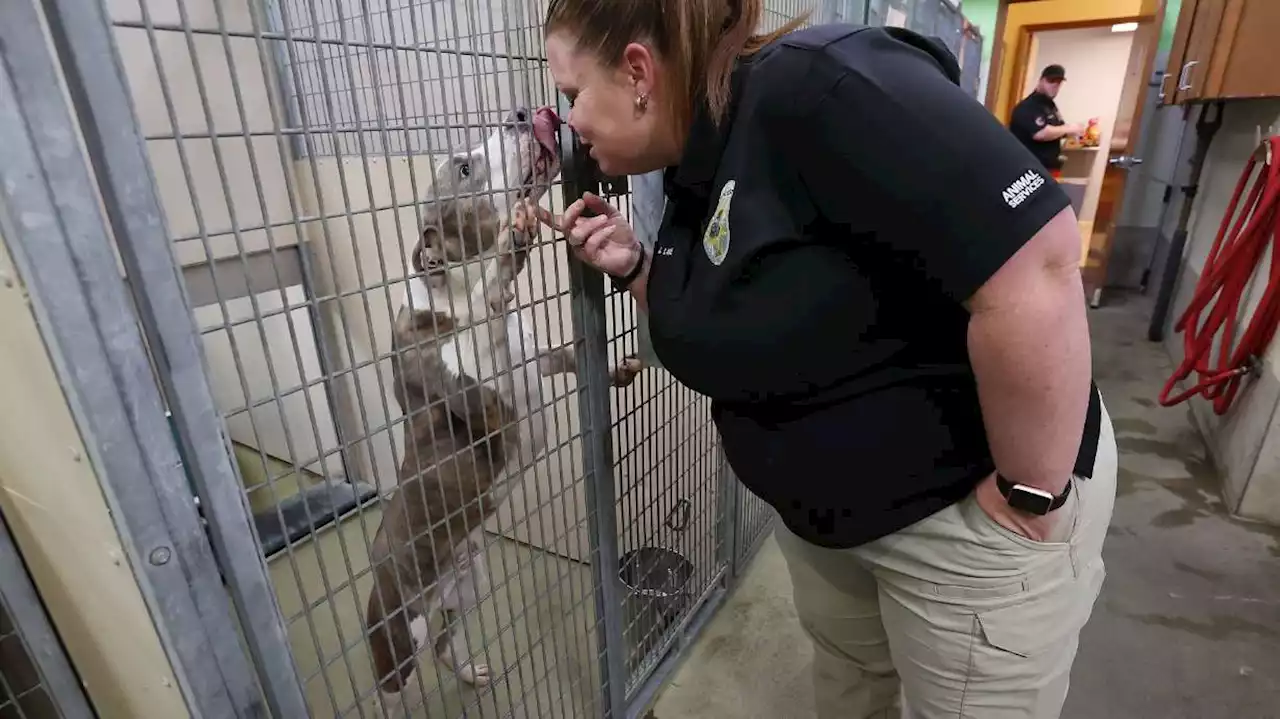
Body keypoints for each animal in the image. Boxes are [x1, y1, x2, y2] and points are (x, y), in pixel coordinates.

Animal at [363, 103, 637, 690]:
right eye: (465, 169)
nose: (518, 113)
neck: (447, 290)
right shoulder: (488, 396)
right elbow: (487, 302)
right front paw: (509, 247)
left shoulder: (534, 360)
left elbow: (566, 355)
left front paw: (618, 369)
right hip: (398, 635)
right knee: (393, 683)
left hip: (470, 582)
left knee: (446, 643)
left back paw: (470, 673)